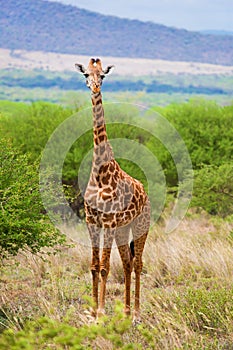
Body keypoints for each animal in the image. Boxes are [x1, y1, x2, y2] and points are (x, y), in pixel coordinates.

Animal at [75, 58, 150, 322]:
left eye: (103, 76)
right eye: (86, 74)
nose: (95, 87)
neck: (100, 172)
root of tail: (146, 194)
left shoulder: (107, 221)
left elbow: (105, 267)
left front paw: (100, 311)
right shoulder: (91, 220)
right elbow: (94, 266)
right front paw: (91, 311)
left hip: (140, 225)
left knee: (138, 263)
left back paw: (136, 313)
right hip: (122, 229)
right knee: (127, 262)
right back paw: (126, 312)